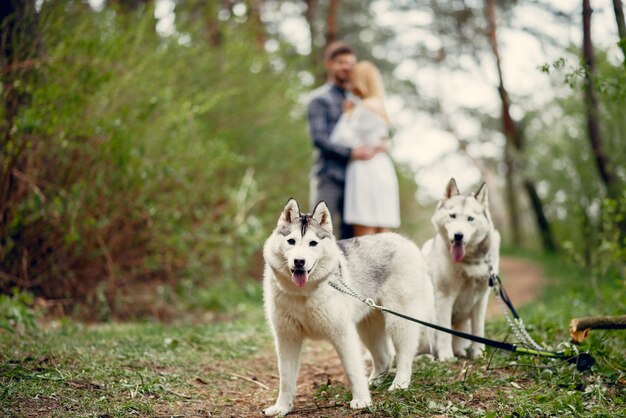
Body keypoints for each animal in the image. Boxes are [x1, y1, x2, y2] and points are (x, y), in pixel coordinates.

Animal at [260, 198, 432, 414]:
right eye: (291, 241)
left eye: (313, 243)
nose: (299, 261)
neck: (303, 293)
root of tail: (405, 242)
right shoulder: (286, 337)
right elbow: (286, 378)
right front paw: (281, 407)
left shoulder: (342, 333)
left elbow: (352, 369)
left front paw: (361, 400)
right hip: (368, 328)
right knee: (384, 357)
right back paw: (374, 382)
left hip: (398, 322)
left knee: (404, 356)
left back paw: (399, 384)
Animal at [422, 178, 500, 360]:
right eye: (452, 216)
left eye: (470, 219)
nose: (458, 236)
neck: (470, 261)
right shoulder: (444, 296)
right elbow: (444, 331)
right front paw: (445, 356)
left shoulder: (481, 299)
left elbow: (478, 330)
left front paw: (478, 353)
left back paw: (459, 351)